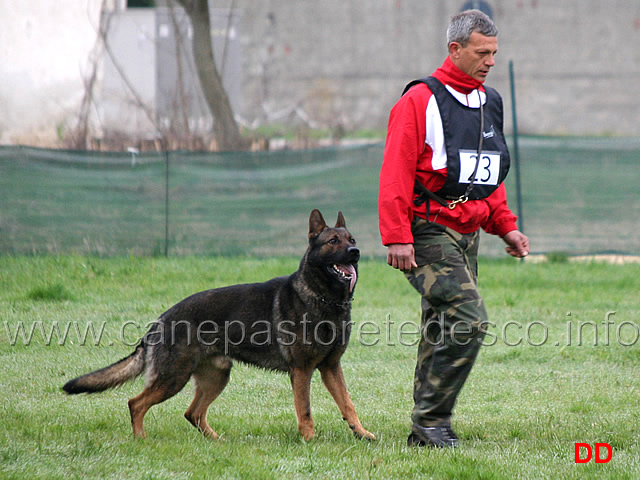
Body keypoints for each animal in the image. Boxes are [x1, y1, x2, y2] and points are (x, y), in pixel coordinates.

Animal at [63, 208, 376, 440]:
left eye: (351, 238)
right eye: (333, 241)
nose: (356, 251)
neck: (323, 297)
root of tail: (161, 320)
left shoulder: (331, 367)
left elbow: (348, 403)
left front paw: (361, 433)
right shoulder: (302, 370)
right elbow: (306, 409)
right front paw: (309, 439)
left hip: (216, 378)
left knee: (192, 413)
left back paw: (216, 440)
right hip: (173, 378)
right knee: (136, 403)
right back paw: (141, 438)